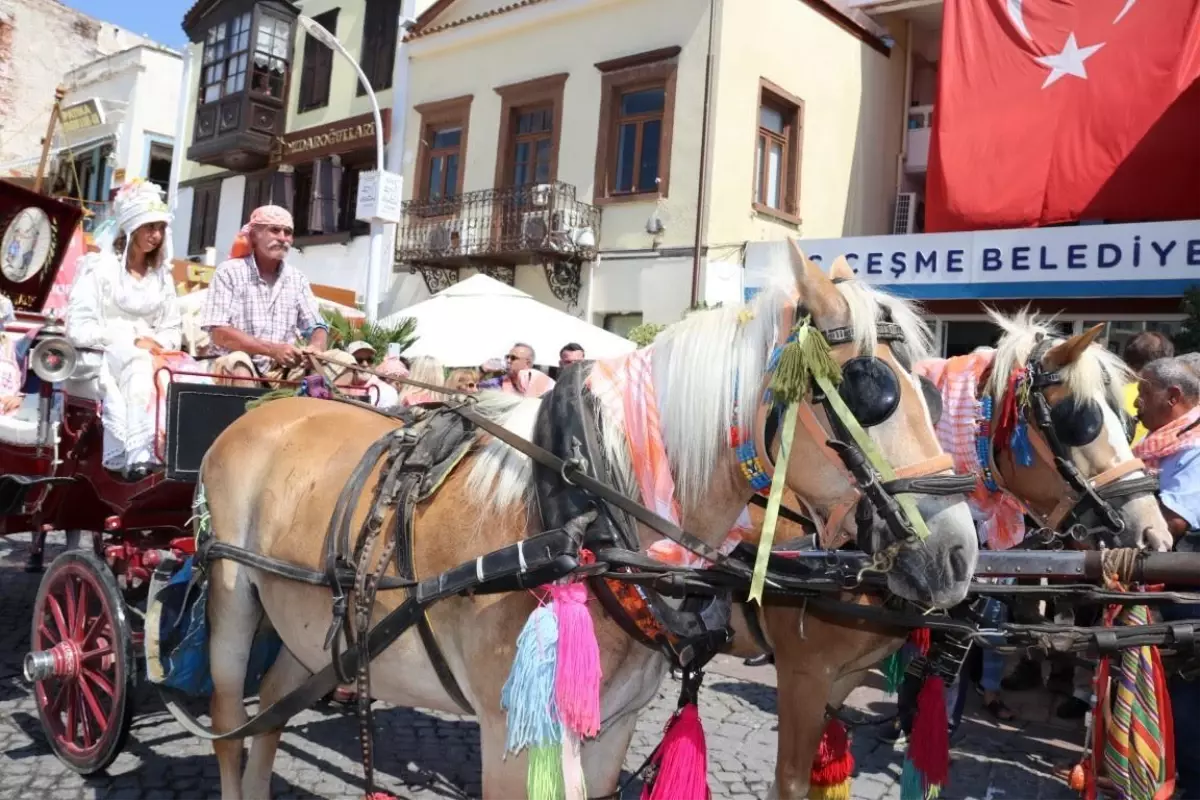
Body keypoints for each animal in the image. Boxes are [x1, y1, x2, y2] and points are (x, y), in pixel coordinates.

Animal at [199, 245, 984, 800]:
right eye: (872, 389)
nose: (958, 555)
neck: (578, 516)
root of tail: (274, 404)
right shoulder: (516, 740)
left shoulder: (613, 726)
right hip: (233, 598)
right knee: (231, 730)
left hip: (307, 634)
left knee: (273, 713)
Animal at [729, 303, 1171, 796]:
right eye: (1080, 420)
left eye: (1127, 420)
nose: (1155, 534)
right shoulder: (805, 675)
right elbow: (791, 779)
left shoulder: (845, 675)